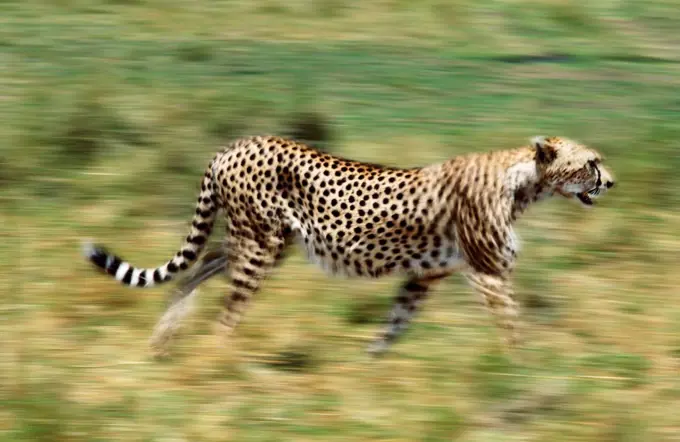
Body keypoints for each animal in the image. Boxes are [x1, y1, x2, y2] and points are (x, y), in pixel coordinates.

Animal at [85, 135, 616, 356]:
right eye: (592, 161)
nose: (611, 181)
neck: (525, 179)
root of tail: (233, 144)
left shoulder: (425, 275)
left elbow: (394, 326)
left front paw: (370, 367)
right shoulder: (488, 273)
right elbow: (512, 325)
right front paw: (521, 369)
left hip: (259, 242)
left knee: (201, 265)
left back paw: (165, 337)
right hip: (259, 244)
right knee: (227, 309)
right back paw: (216, 361)